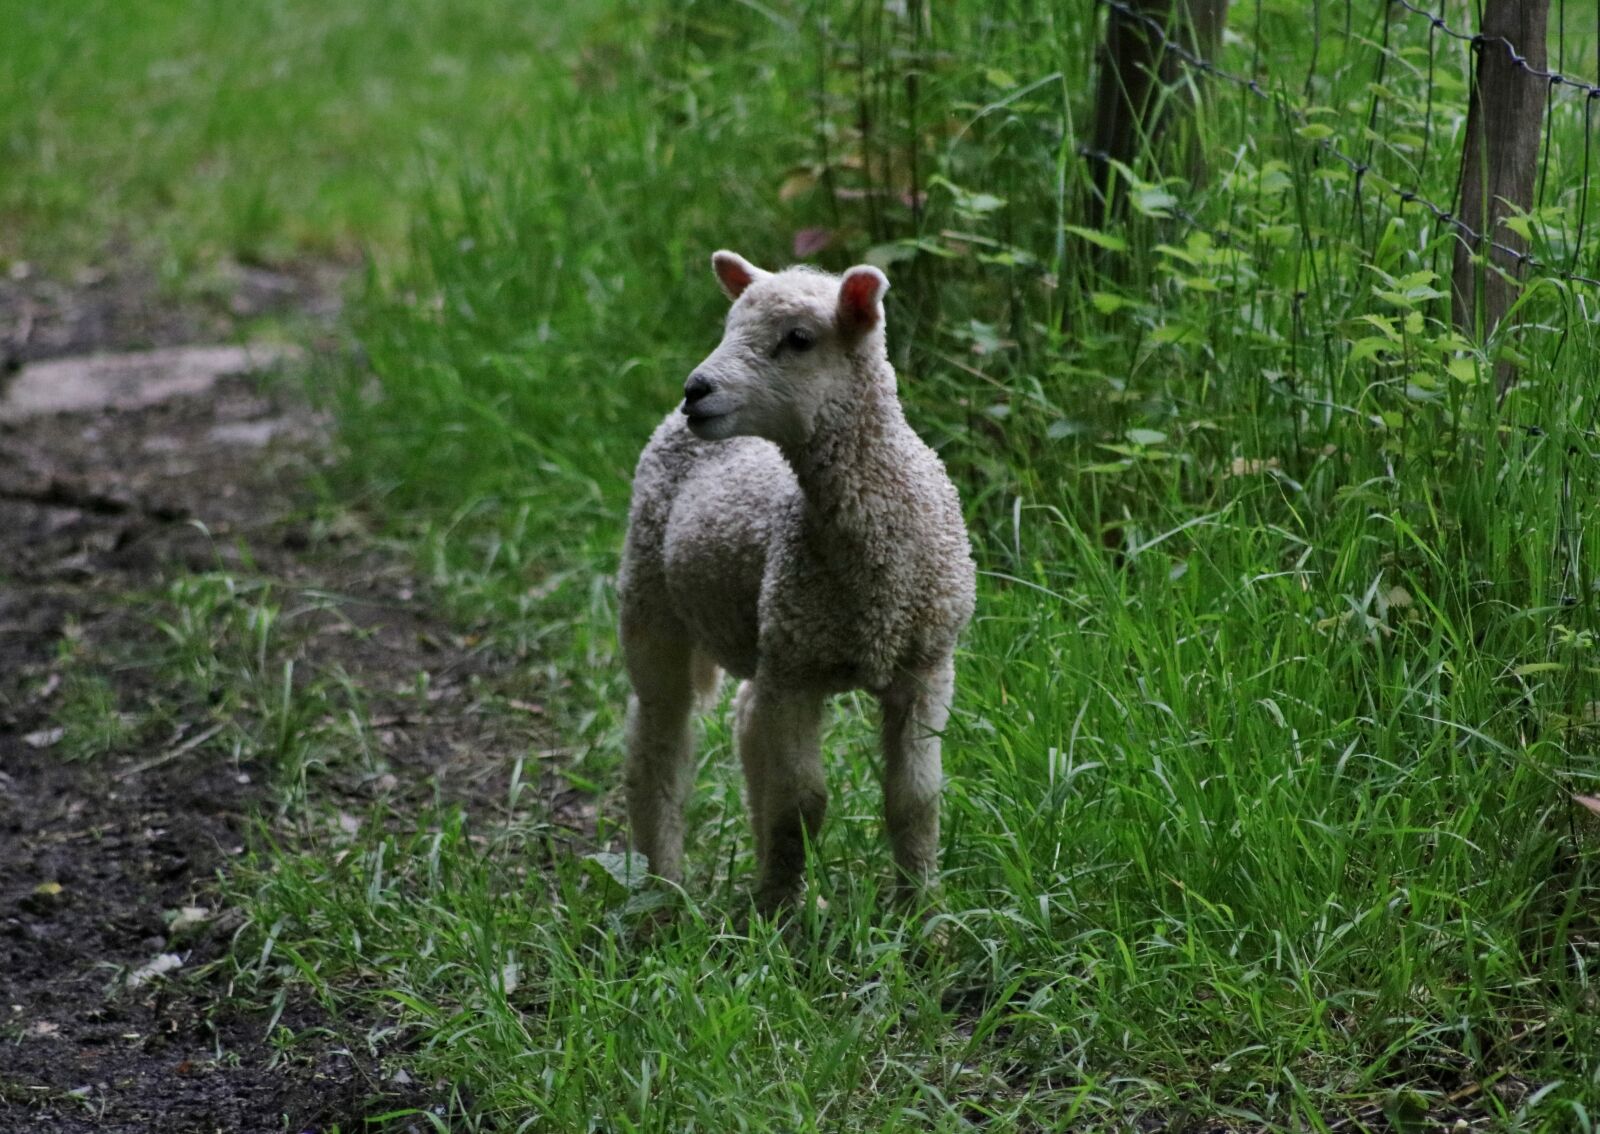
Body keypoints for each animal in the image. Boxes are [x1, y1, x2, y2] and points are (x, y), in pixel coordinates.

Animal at [618, 250, 976, 914]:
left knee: (747, 720)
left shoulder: (927, 664)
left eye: (799, 339)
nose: (695, 391)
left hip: (769, 639)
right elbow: (803, 806)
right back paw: (666, 891)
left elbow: (915, 801)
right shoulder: (799, 676)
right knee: (657, 746)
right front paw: (787, 918)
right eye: (729, 325)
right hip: (652, 601)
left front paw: (922, 913)